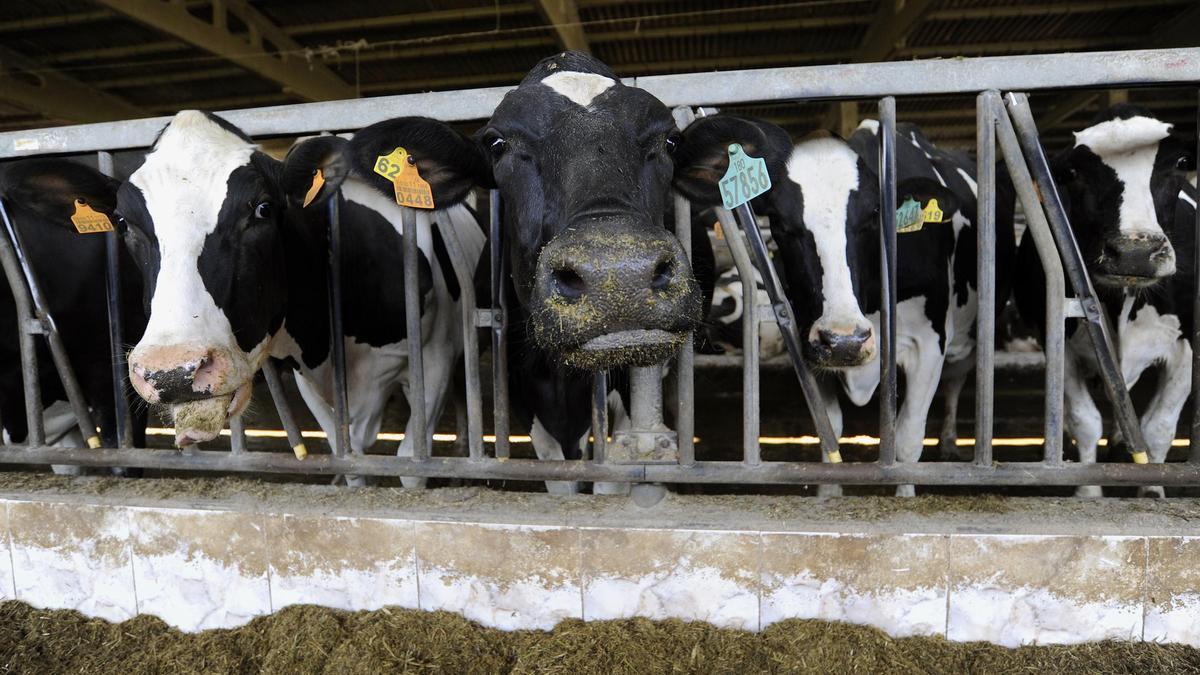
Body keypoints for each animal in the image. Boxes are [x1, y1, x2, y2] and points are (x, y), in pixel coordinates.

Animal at [676, 117, 1012, 494]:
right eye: (780, 221)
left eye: (874, 214)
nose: (845, 341)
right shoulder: (809, 341)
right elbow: (829, 431)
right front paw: (829, 493)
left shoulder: (929, 343)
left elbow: (908, 439)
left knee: (957, 381)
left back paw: (951, 442)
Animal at [1012, 105, 1200, 494]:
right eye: (1072, 172)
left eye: (1180, 161)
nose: (1134, 252)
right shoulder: (1060, 344)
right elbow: (1085, 421)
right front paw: (1088, 490)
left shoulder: (1188, 345)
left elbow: (1158, 428)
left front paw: (1152, 489)